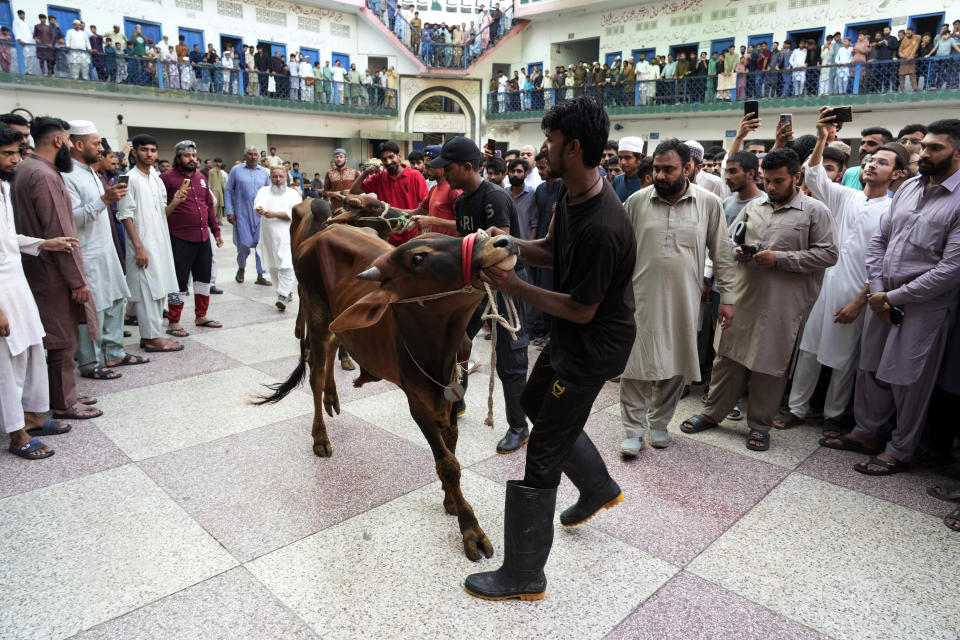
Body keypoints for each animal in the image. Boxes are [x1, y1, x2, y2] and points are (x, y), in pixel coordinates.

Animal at [258, 192, 516, 556]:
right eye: (418, 258)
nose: (502, 241)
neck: (440, 348)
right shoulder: (417, 401)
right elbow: (448, 462)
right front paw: (470, 528)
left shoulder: (454, 390)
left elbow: (451, 444)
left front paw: (451, 500)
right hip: (317, 319)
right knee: (316, 374)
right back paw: (320, 435)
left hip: (336, 324)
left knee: (334, 353)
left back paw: (333, 397)